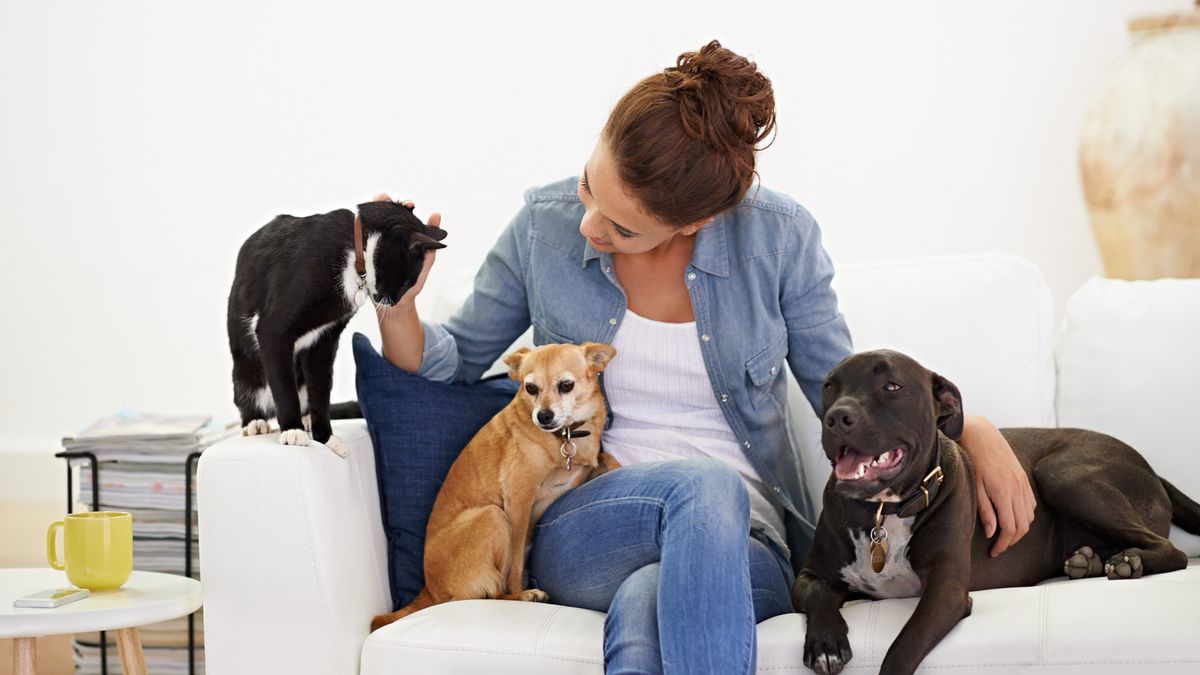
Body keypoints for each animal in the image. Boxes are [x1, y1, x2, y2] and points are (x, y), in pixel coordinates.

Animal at [225, 198, 446, 451]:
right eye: (407, 281)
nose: (394, 302)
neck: (355, 250)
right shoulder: (274, 330)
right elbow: (283, 385)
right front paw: (292, 430)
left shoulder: (324, 339)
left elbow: (320, 389)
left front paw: (325, 438)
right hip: (246, 369)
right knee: (250, 392)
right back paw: (256, 423)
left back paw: (306, 418)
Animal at [792, 348, 1195, 667]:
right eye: (829, 387)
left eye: (892, 386)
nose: (837, 416)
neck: (882, 512)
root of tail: (1152, 470)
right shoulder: (810, 576)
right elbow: (817, 593)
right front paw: (826, 644)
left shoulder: (946, 592)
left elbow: (902, 647)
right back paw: (1089, 562)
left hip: (1061, 473)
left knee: (1171, 550)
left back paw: (1130, 563)